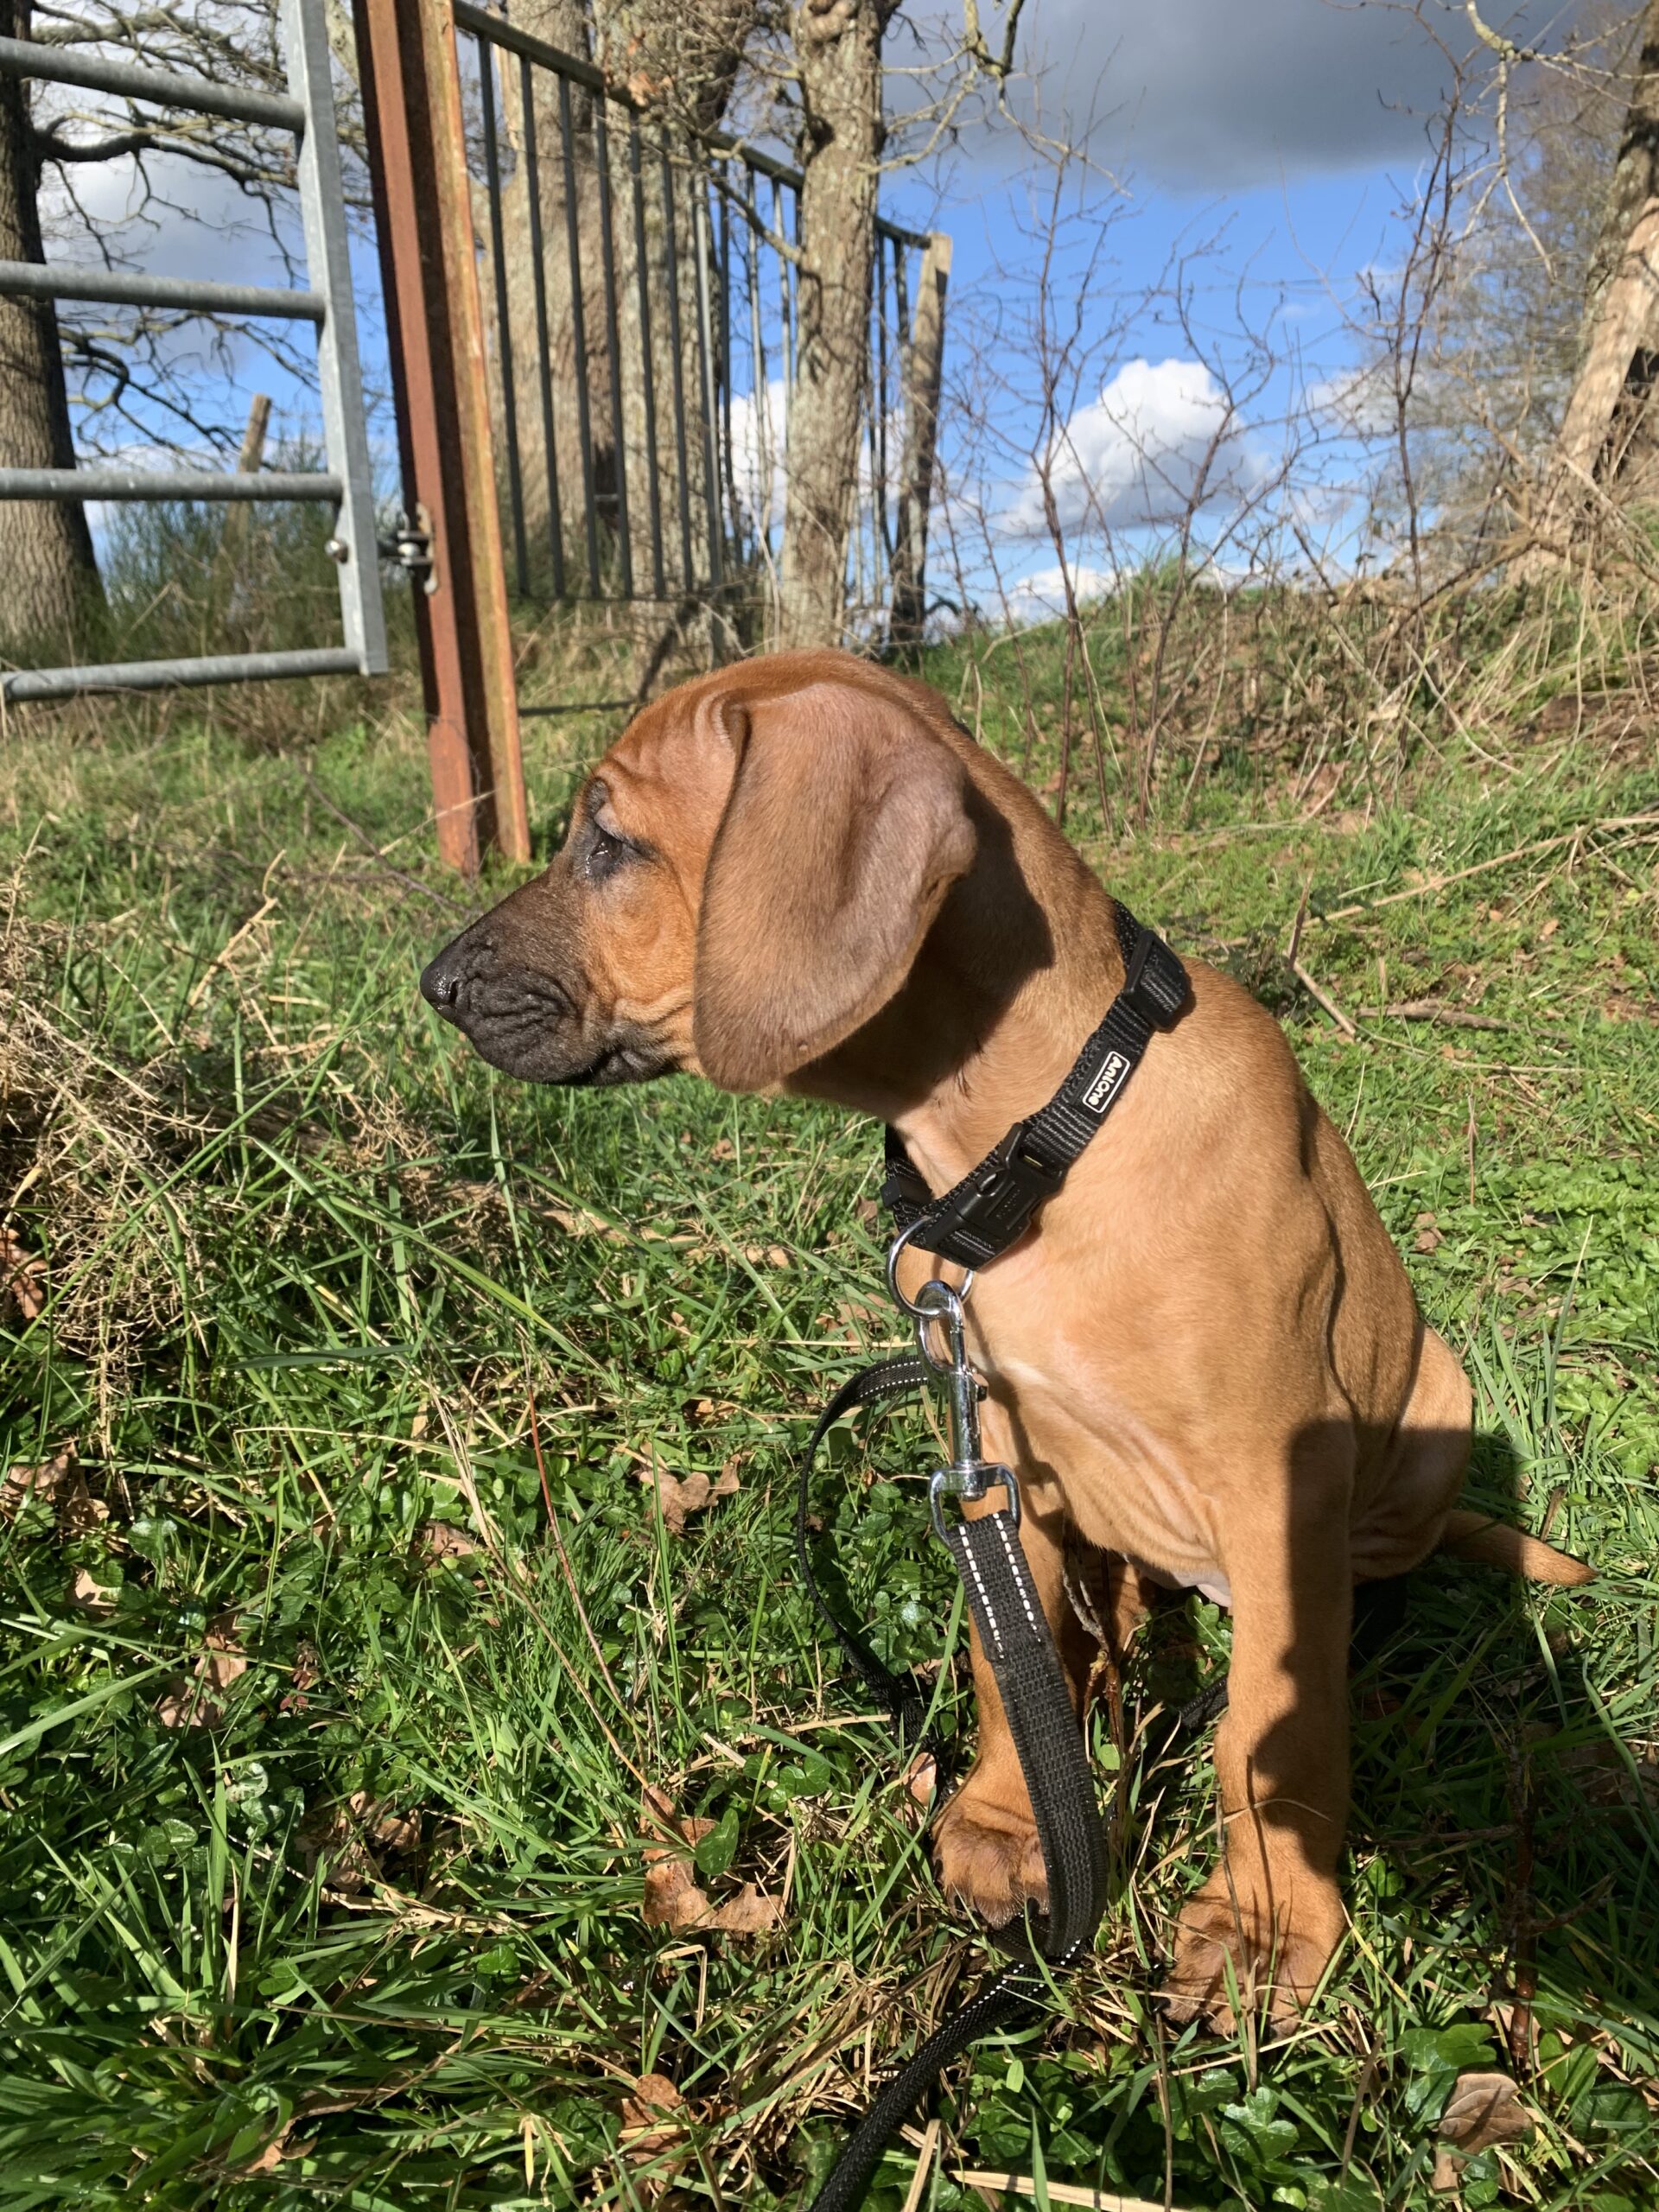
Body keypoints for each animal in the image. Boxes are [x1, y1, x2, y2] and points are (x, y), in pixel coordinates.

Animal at [422, 650, 1592, 2025]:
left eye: (608, 841)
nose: (436, 984)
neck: (1039, 1142)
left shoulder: (1273, 1477)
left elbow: (1272, 1724)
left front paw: (1265, 1924)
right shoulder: (990, 1437)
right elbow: (1003, 1645)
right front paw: (1007, 1815)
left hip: (1433, 1401)